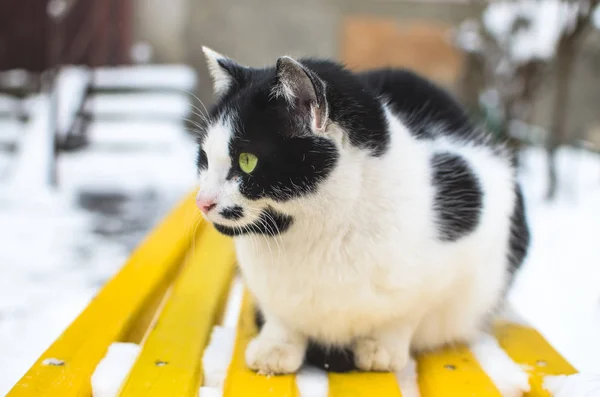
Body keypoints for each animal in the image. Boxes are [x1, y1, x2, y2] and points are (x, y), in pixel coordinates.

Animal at [195, 47, 528, 374]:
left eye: (247, 161)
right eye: (205, 158)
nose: (202, 201)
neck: (317, 237)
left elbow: (407, 314)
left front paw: (382, 349)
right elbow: (281, 317)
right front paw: (276, 348)